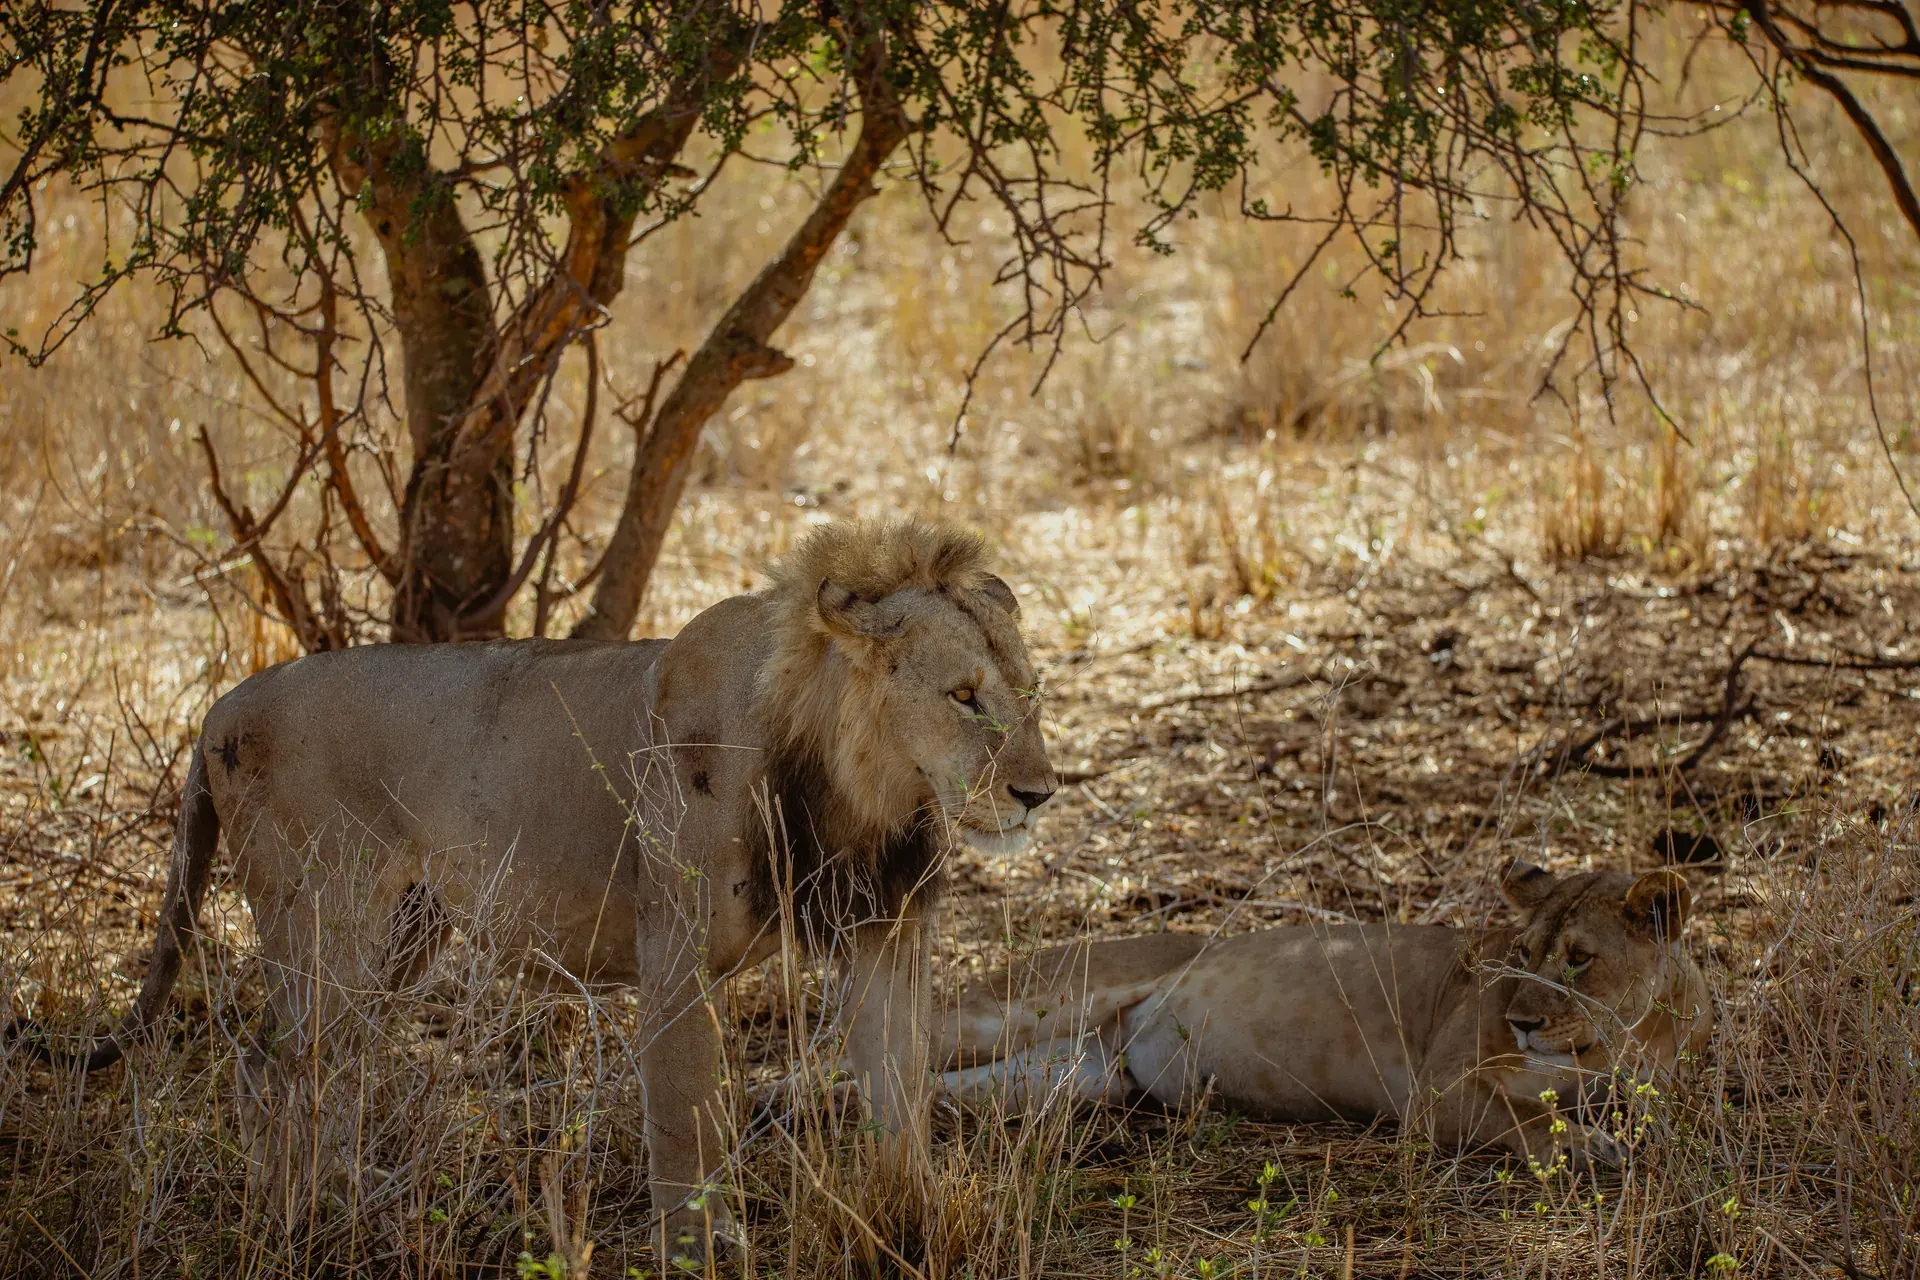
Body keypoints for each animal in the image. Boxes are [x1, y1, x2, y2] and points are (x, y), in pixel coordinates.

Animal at [66, 518, 1056, 1261]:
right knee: (275, 1063)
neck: (861, 790)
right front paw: (702, 1251)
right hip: (323, 917)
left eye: (1032, 693)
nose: (1041, 793)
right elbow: (686, 1123)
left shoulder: (887, 933)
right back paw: (293, 1219)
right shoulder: (674, 955)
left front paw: (916, 1218)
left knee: (327, 1062)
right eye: (963, 696)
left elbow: (903, 1094)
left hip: (403, 932)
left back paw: (346, 1199)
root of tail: (219, 708)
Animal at [937, 862, 1710, 1169]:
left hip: (1067, 1078)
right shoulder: (1437, 1090)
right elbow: (1526, 1119)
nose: (1521, 1022)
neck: (1605, 1045)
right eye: (1520, 954)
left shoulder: (1665, 1081)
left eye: (1578, 959)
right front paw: (1588, 1146)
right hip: (1023, 1007)